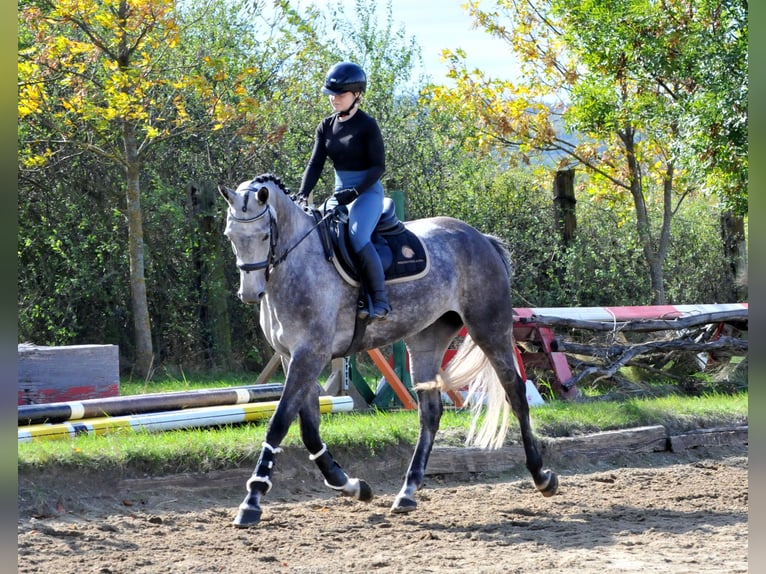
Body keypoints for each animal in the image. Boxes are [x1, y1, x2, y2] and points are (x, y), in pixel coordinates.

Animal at [218, 173, 560, 528]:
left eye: (264, 235)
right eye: (231, 235)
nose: (250, 293)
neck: (296, 264)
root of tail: (479, 238)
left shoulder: (310, 355)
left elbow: (280, 422)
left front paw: (253, 499)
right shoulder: (292, 357)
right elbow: (309, 429)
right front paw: (351, 485)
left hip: (488, 328)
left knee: (515, 393)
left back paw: (541, 476)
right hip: (426, 339)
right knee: (430, 413)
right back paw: (407, 491)